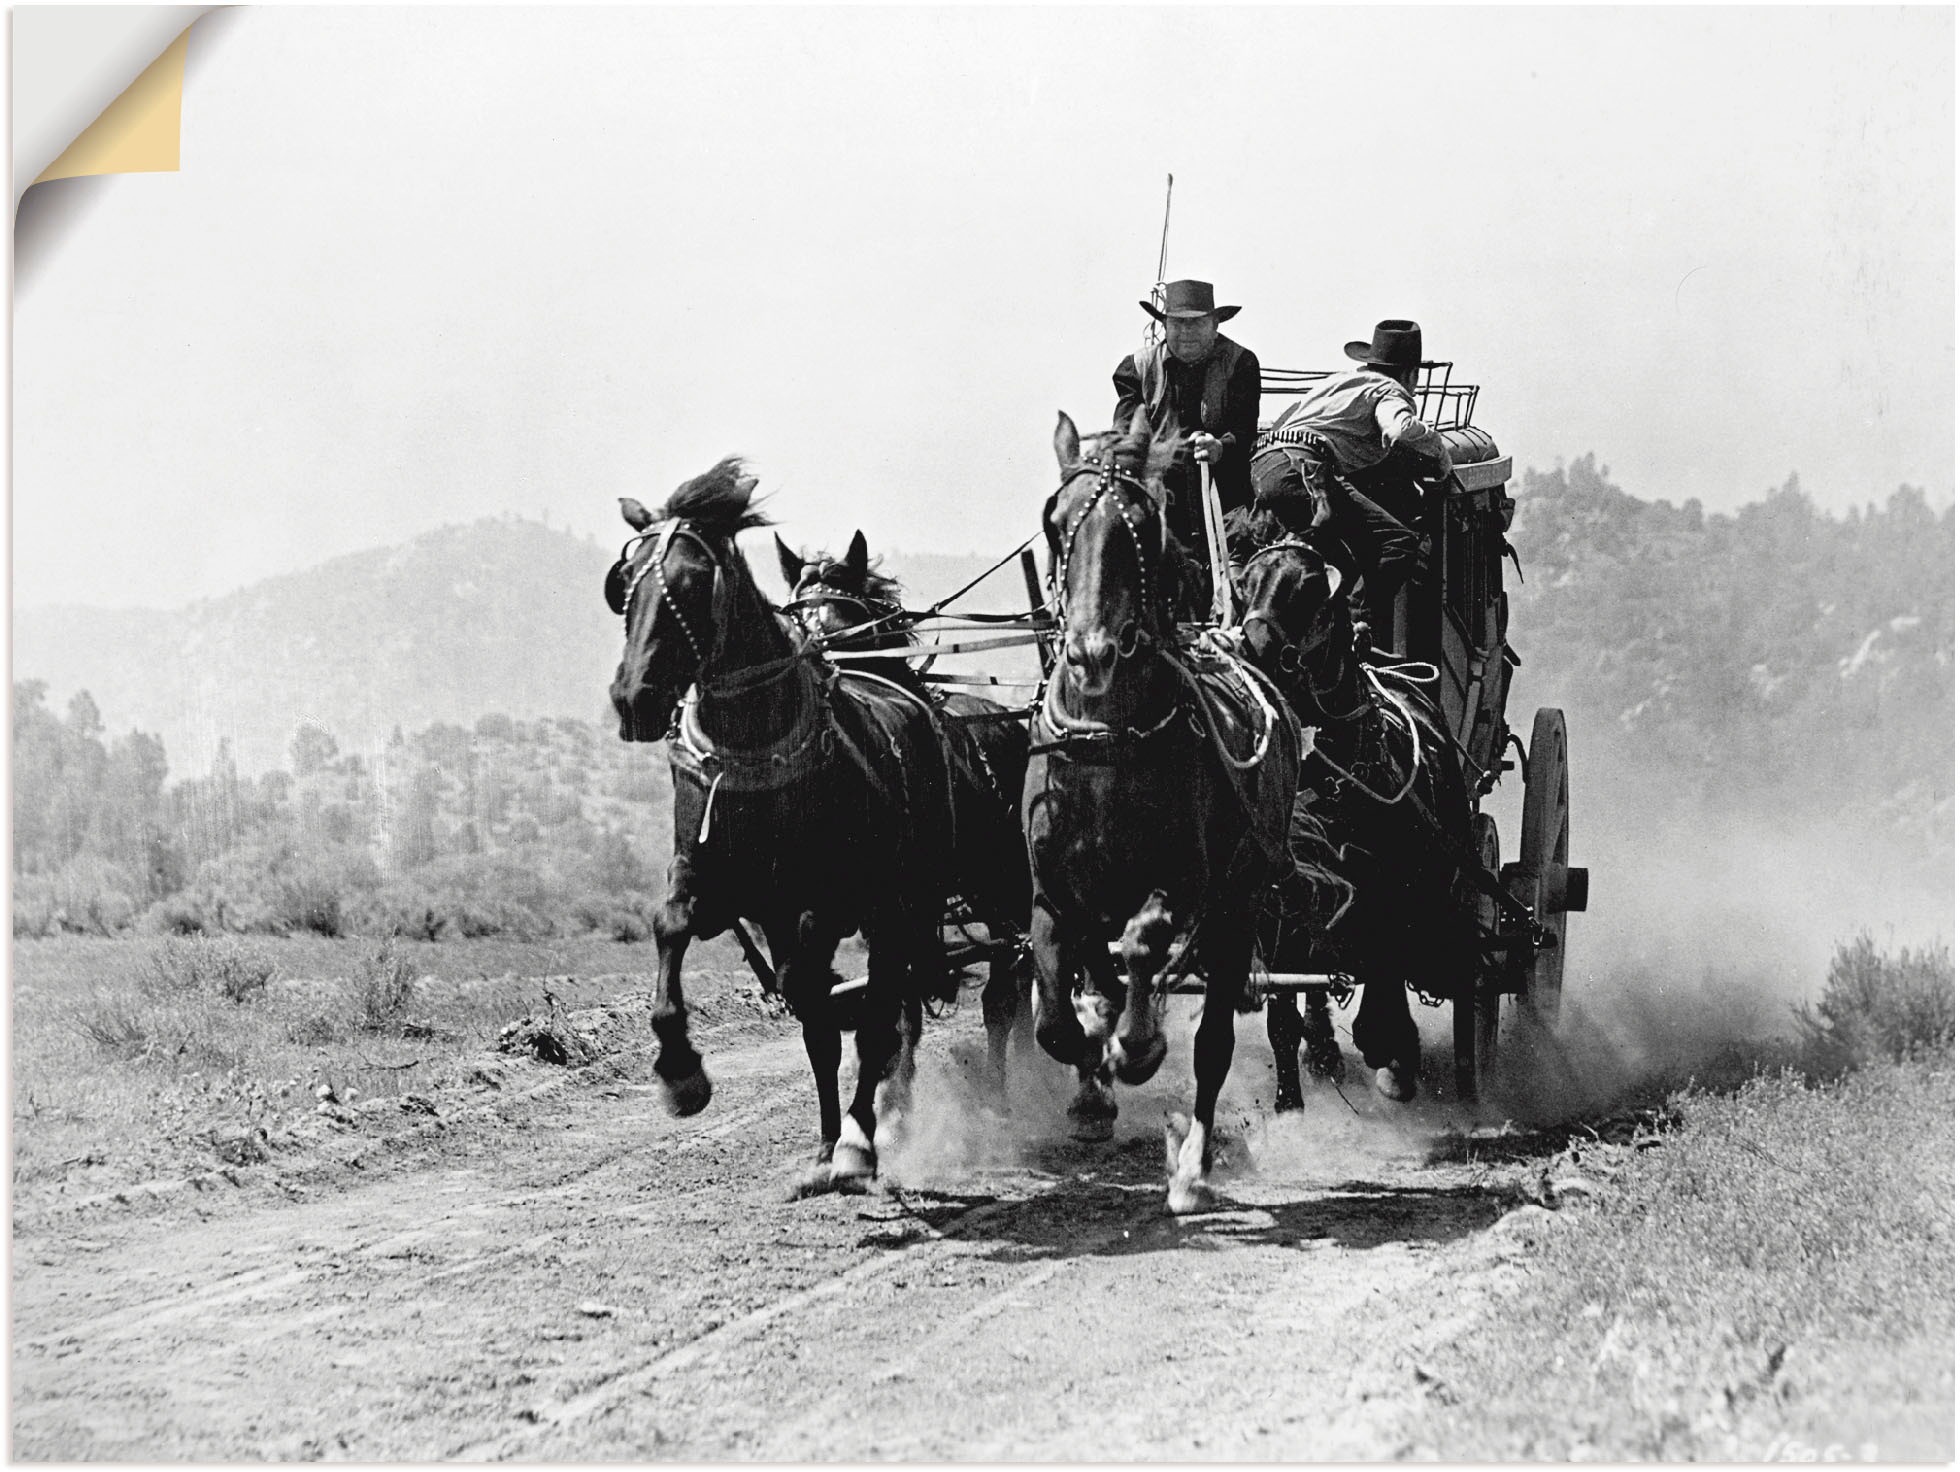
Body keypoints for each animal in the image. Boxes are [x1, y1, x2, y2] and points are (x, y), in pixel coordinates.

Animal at [603, 462, 956, 1199]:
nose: (634, 698)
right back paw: (838, 1139)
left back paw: (861, 1136)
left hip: (902, 902)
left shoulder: (825, 901)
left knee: (885, 1011)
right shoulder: (723, 888)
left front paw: (851, 1140)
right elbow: (672, 927)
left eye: (689, 583)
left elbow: (835, 1003)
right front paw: (681, 1072)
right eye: (624, 583)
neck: (753, 748)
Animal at [772, 529, 1034, 1097]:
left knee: (1010, 985)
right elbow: (902, 1007)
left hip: (1006, 881)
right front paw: (898, 1094)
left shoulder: (905, 902)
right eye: (797, 617)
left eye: (843, 616)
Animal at [1027, 409, 1301, 1215]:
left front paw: (1138, 1047)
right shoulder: (1053, 895)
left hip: (1242, 902)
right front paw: (1092, 1088)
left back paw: (1191, 1165)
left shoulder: (1187, 887)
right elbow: (1058, 1015)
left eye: (1142, 527)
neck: (1107, 743)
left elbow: (1147, 944)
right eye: (1056, 522)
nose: (1091, 653)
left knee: (1213, 1044)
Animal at [1230, 501, 1473, 1097]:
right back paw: (1325, 1050)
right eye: (1246, 583)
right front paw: (1292, 1096)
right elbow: (1283, 1012)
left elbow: (1387, 971)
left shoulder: (1394, 890)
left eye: (1314, 585)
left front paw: (1393, 1053)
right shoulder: (1286, 898)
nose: (1256, 648)